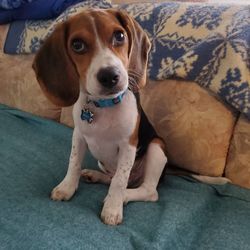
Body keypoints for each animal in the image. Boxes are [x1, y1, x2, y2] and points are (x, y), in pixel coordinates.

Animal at [31, 9, 168, 225]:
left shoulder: (129, 145)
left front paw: (112, 208)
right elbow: (74, 162)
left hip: (157, 148)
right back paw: (95, 176)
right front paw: (67, 187)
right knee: (112, 178)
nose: (110, 76)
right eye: (77, 45)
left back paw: (124, 196)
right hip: (103, 162)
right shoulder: (78, 136)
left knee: (147, 190)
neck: (103, 105)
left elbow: (120, 180)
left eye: (119, 36)